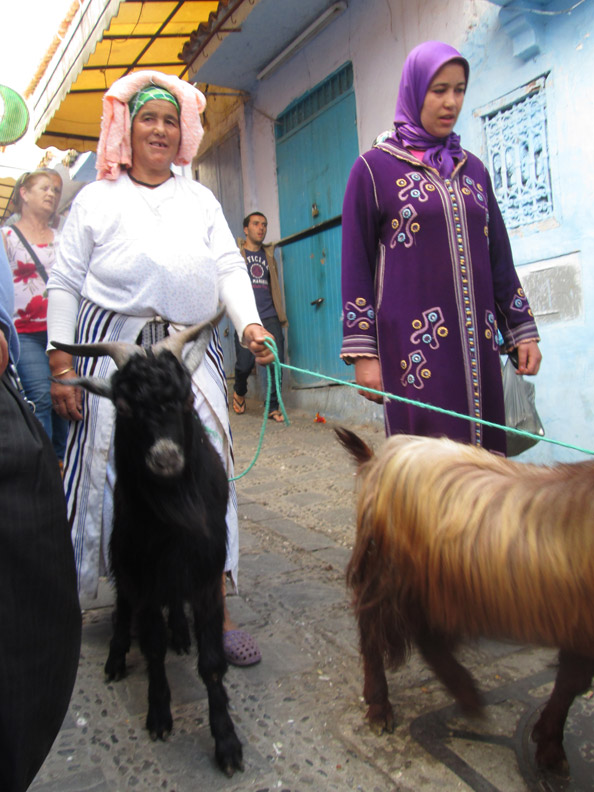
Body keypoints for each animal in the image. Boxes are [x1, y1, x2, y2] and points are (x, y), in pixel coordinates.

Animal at [52, 312, 242, 776]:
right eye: (122, 406)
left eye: (186, 397)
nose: (166, 458)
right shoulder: (145, 570)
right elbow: (152, 648)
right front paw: (159, 714)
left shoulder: (206, 572)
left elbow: (212, 664)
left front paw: (227, 742)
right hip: (122, 553)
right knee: (124, 605)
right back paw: (117, 656)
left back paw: (181, 633)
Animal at [336, 430, 592, 772]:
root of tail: (379, 459)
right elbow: (572, 681)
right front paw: (550, 747)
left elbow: (570, 681)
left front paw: (546, 739)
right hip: (391, 575)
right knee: (376, 631)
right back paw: (382, 707)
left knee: (426, 636)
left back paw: (465, 693)